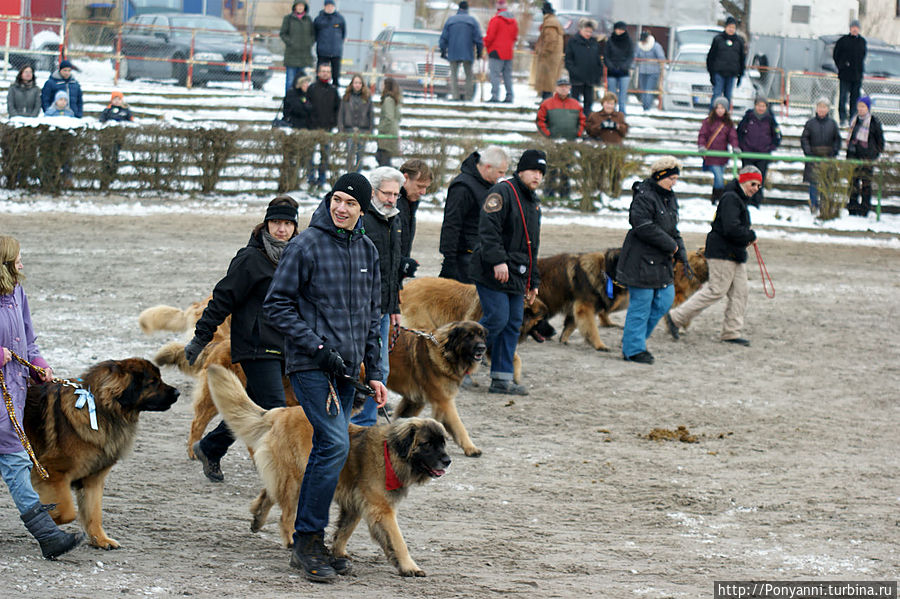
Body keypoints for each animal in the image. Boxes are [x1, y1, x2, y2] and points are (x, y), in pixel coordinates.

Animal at [23, 358, 179, 552]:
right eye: (153, 382)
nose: (178, 392)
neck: (99, 407)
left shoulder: (94, 478)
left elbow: (94, 512)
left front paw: (101, 540)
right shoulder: (52, 472)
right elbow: (68, 511)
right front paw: (50, 517)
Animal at [207, 364, 454, 580]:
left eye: (443, 442)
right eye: (427, 444)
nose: (448, 460)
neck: (391, 453)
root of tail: (279, 412)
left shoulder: (356, 503)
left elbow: (345, 530)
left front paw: (338, 553)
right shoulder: (381, 509)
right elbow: (398, 540)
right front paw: (409, 566)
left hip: (287, 475)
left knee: (268, 493)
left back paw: (258, 519)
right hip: (296, 482)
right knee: (286, 514)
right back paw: (290, 541)